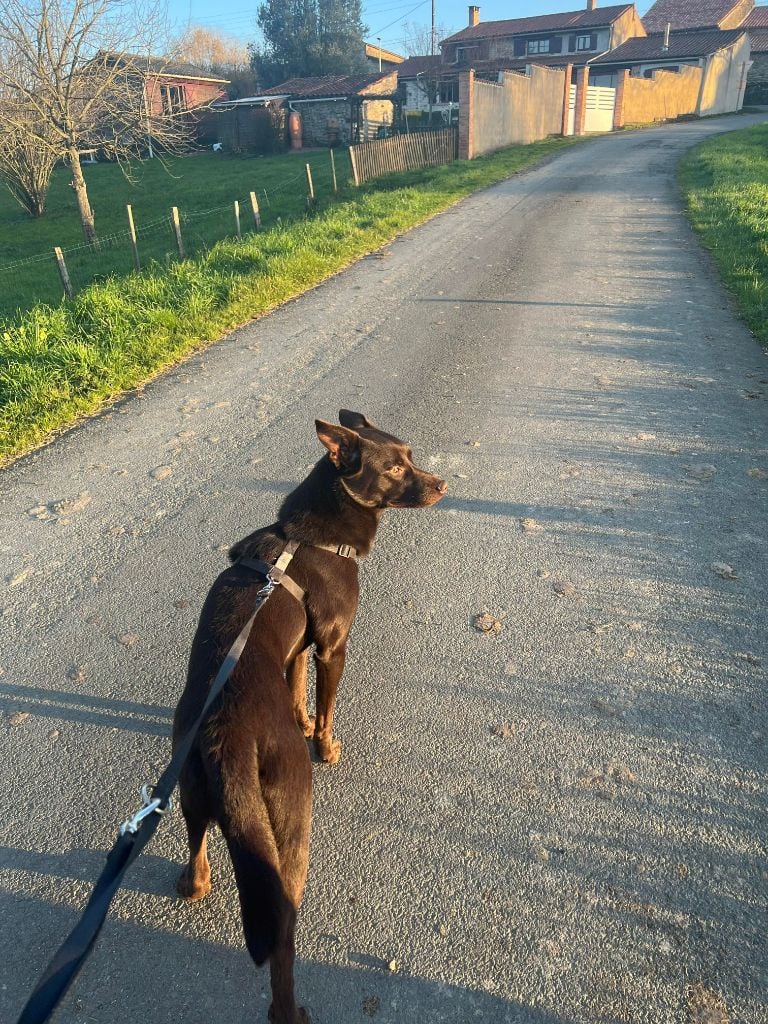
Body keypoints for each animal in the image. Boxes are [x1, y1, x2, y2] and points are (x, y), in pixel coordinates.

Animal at [171, 411, 448, 1024]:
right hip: (291, 824)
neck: (314, 536)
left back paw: (194, 884)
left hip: (189, 791)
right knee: (282, 937)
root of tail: (229, 740)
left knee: (197, 854)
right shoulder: (334, 645)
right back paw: (290, 1010)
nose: (443, 485)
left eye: (410, 455)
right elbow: (326, 705)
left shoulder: (299, 647)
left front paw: (300, 715)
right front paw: (325, 742)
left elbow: (297, 687)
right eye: (395, 468)